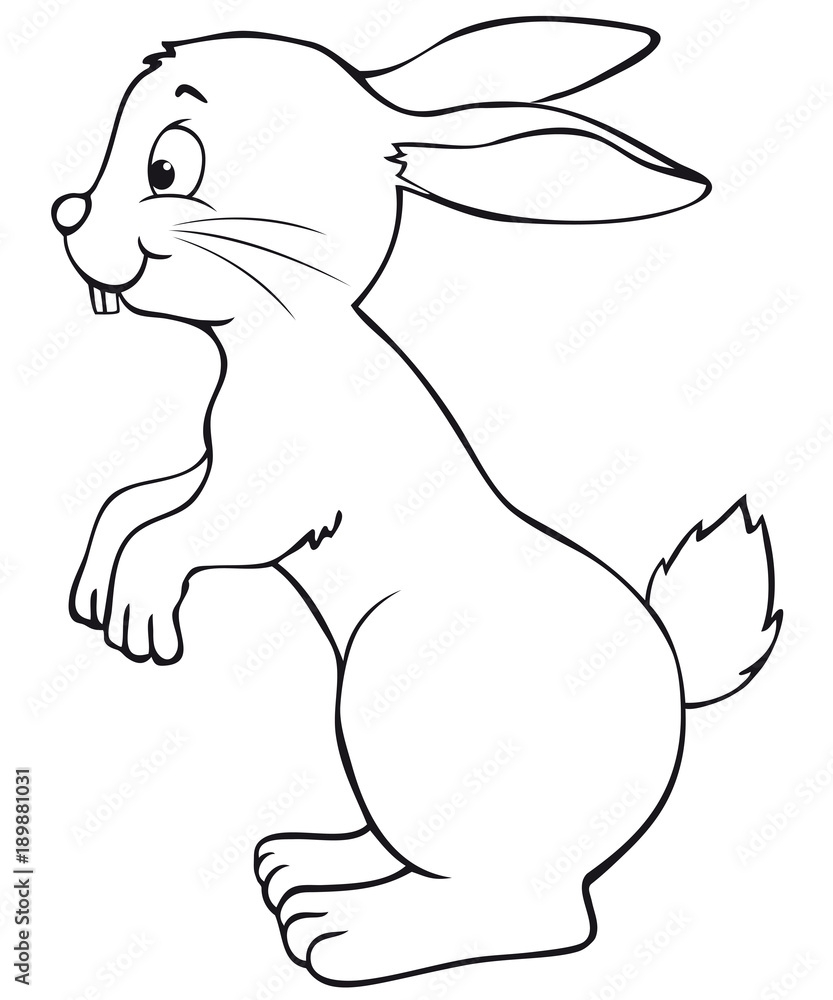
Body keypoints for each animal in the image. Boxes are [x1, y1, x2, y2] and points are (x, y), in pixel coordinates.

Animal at [52, 17, 781, 987]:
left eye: (169, 168)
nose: (65, 215)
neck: (289, 328)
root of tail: (676, 699)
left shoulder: (276, 494)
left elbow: (193, 533)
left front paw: (139, 611)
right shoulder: (210, 463)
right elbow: (138, 501)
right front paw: (97, 585)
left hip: (392, 708)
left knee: (540, 916)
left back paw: (340, 934)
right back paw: (302, 865)